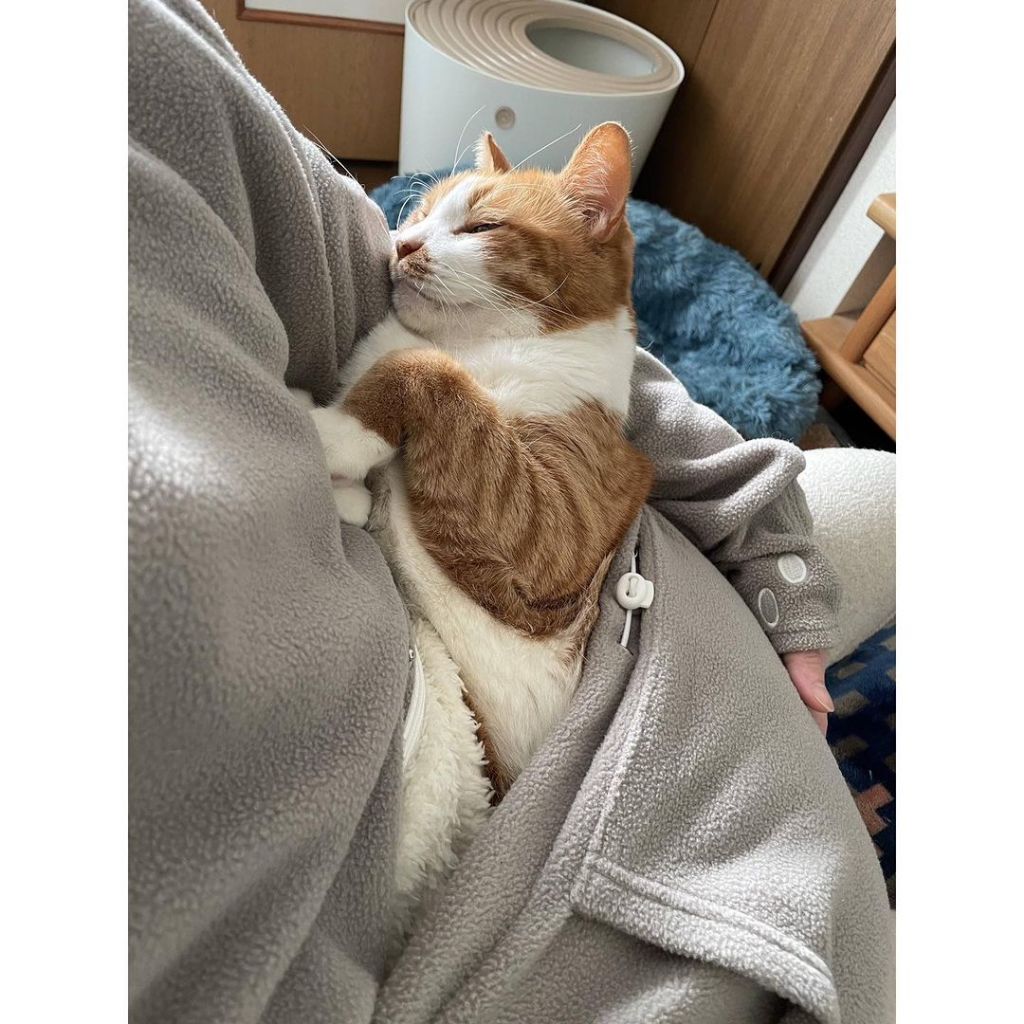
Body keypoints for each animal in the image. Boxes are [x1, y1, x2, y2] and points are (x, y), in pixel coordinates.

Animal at [301, 123, 652, 936]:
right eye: (422, 213)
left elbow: (423, 372)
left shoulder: (550, 535)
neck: (482, 349)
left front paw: (336, 436)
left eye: (482, 226)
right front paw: (351, 489)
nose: (400, 245)